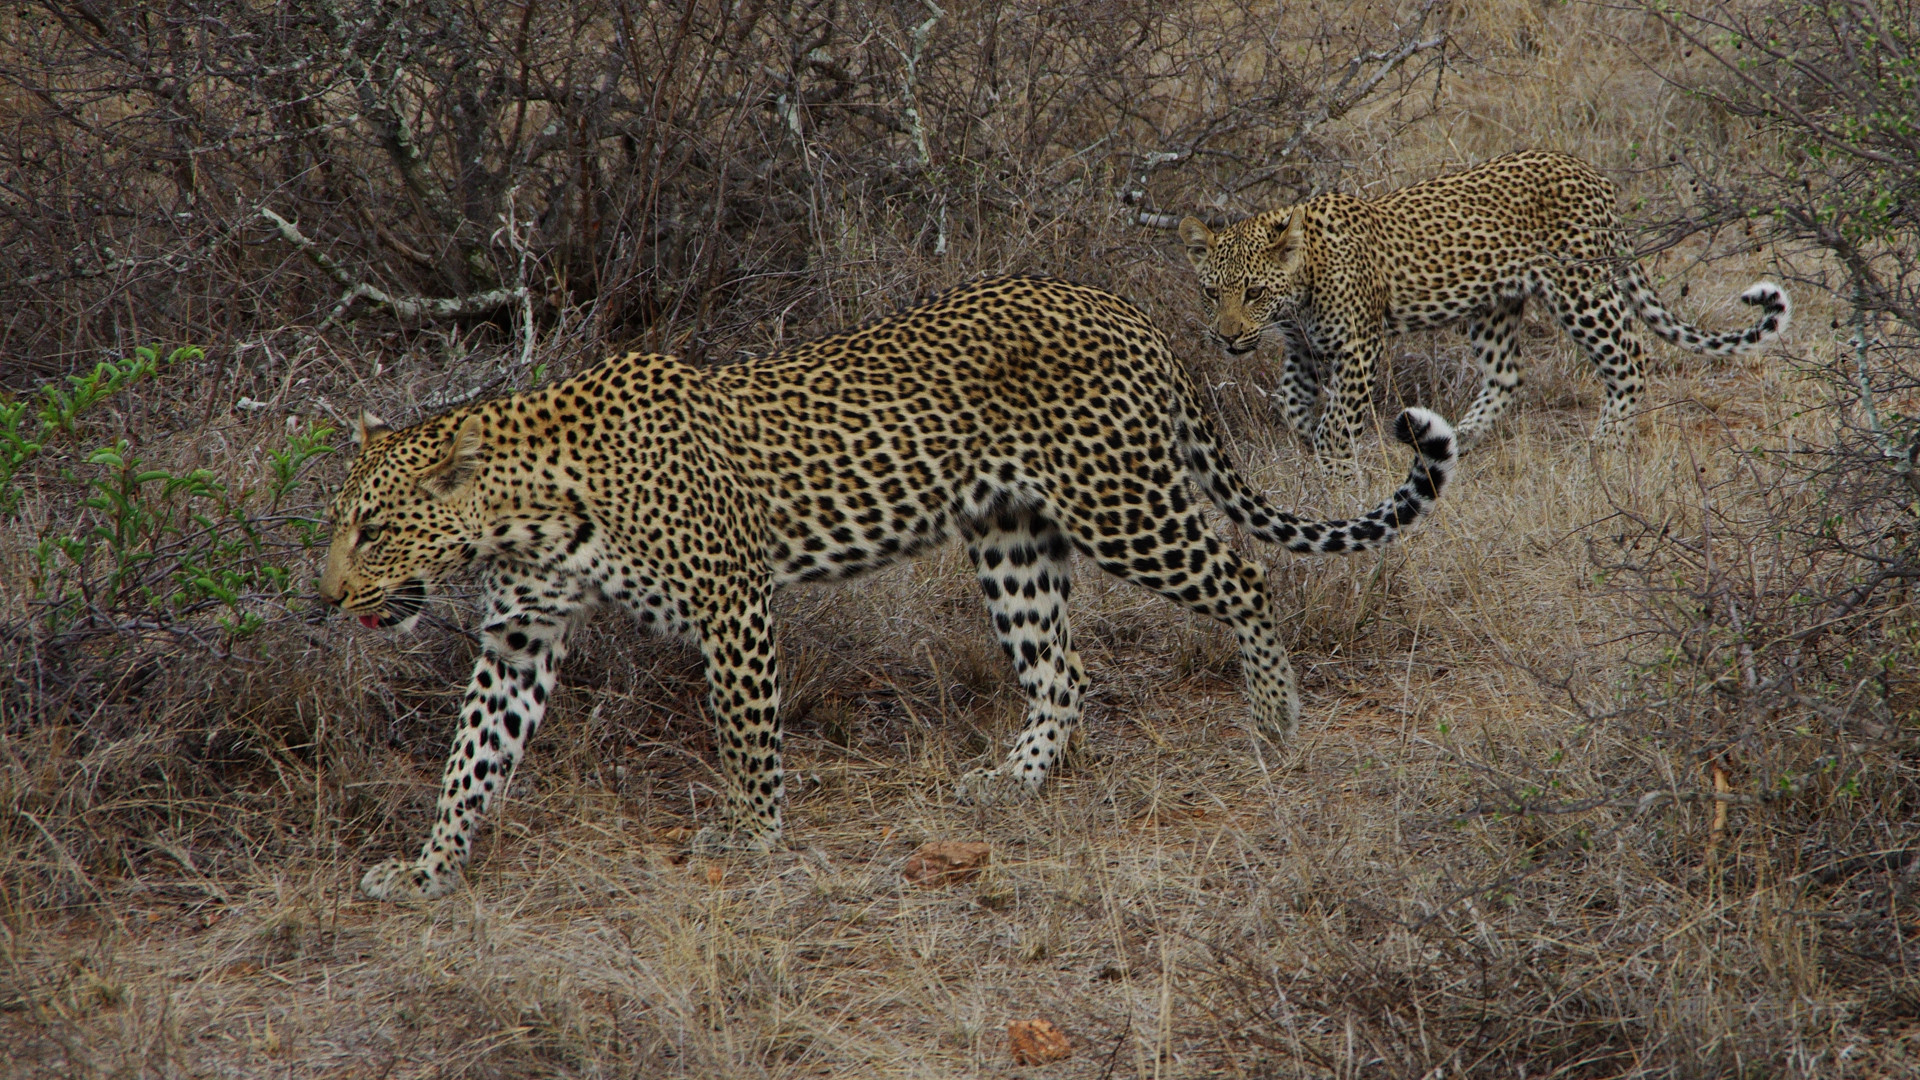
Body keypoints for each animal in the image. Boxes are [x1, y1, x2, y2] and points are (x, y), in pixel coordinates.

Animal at [318, 272, 1451, 895]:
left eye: (373, 527)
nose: (327, 597)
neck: (524, 514)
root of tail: (1121, 307)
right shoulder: (519, 639)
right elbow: (470, 760)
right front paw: (426, 872)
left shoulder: (733, 606)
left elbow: (747, 740)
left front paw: (752, 838)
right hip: (1010, 536)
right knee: (1063, 671)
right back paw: (1012, 781)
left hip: (1120, 503)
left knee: (1246, 572)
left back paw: (1275, 719)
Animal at [1175, 147, 1789, 463]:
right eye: (1210, 293)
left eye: (1253, 292)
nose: (1226, 337)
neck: (1300, 285)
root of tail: (1594, 176)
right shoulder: (1304, 349)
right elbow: (1289, 401)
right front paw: (1307, 438)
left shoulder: (1358, 347)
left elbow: (1336, 420)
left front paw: (1334, 469)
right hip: (1493, 304)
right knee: (1508, 375)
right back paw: (1458, 438)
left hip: (1580, 289)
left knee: (1630, 357)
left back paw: (1602, 447)